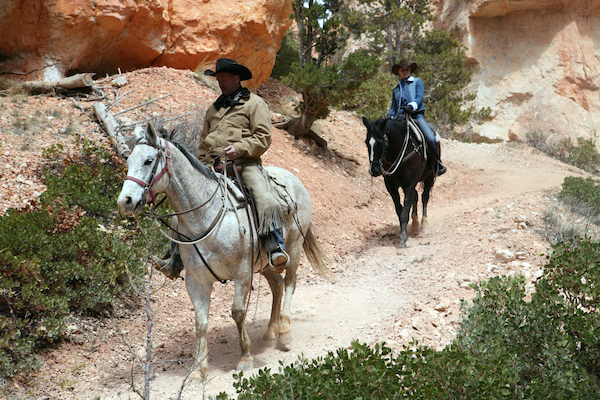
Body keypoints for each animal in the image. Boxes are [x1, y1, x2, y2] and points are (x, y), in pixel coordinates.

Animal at [360, 115, 436, 247]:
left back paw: (424, 226)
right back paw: (415, 225)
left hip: (429, 178)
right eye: (366, 142)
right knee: (416, 196)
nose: (374, 170)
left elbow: (405, 211)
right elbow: (400, 210)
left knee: (424, 197)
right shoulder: (391, 185)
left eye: (381, 142)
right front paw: (403, 233)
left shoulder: (409, 184)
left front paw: (403, 240)